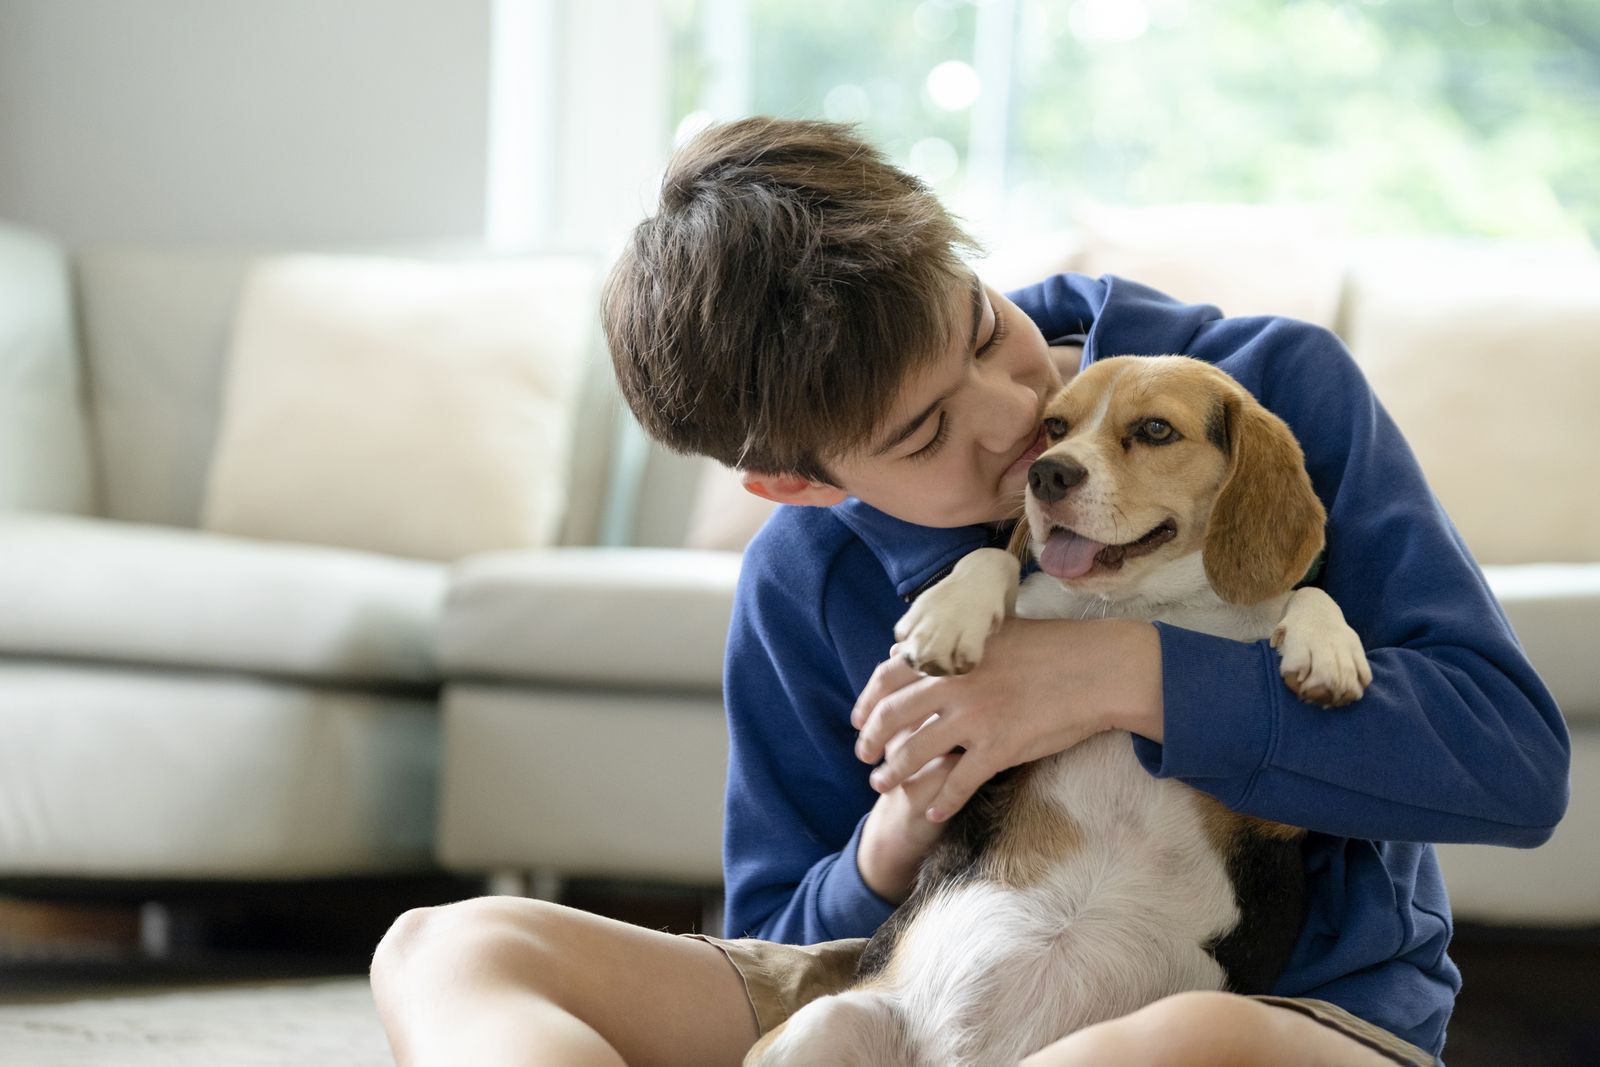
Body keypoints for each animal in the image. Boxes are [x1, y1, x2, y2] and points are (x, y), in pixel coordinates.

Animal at [748, 356, 1376, 1067]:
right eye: (1054, 426)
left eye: (1156, 430)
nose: (1045, 473)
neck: (1143, 606)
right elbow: (992, 557)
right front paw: (948, 615)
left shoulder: (1269, 816)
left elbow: (1308, 597)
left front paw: (1328, 649)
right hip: (824, 1024)